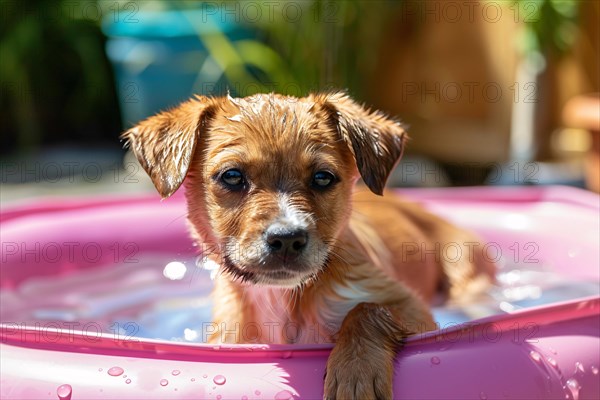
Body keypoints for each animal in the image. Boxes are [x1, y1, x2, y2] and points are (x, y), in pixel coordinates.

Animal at [120, 92, 492, 398]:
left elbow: (367, 309)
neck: (281, 300)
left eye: (323, 177)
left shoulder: (411, 307)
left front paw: (355, 373)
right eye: (232, 176)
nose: (287, 238)